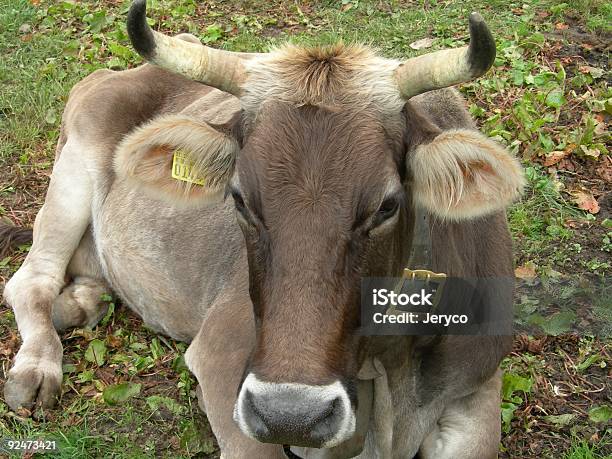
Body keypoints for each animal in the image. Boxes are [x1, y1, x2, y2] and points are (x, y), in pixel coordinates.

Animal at [1, 1, 524, 458]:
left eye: (387, 205)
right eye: (238, 197)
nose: (291, 414)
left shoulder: (478, 385)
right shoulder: (222, 356)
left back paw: (79, 303)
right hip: (75, 163)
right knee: (31, 280)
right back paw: (37, 366)